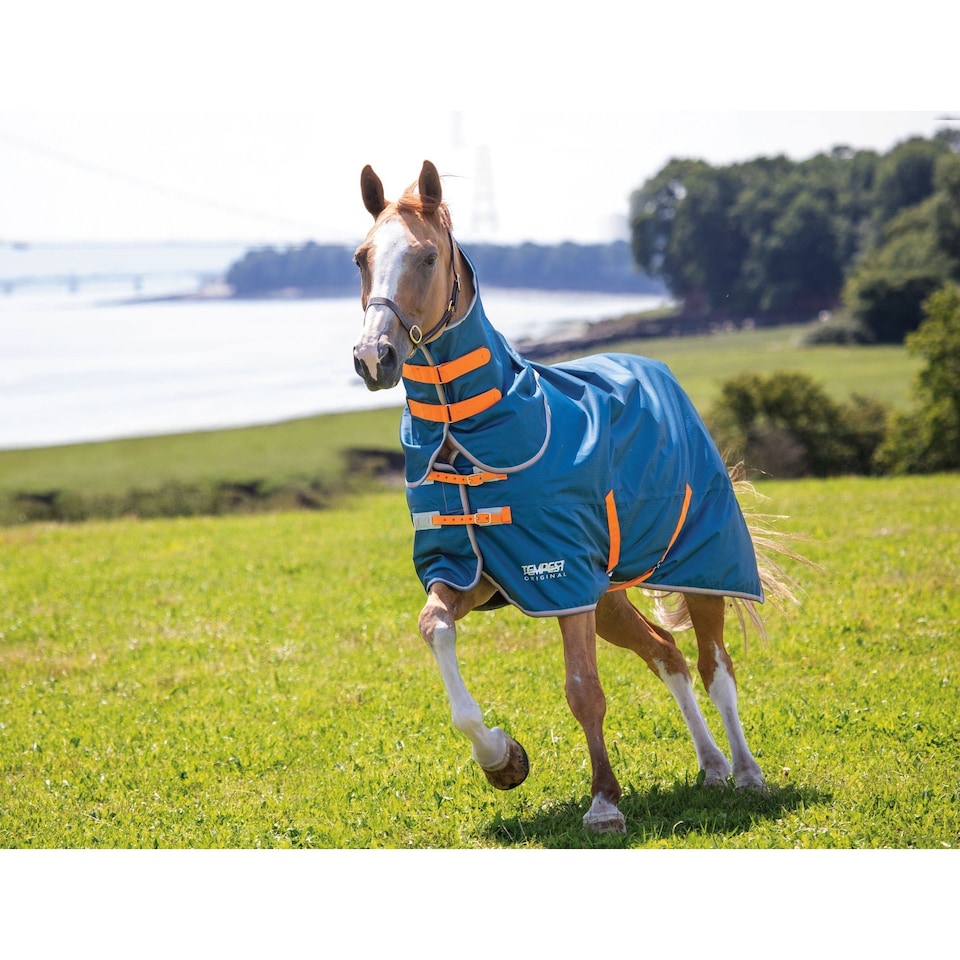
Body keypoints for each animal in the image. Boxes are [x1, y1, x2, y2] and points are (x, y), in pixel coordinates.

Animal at [352, 160, 795, 834]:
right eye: (361, 258)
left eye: (426, 257)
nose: (373, 356)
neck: (471, 432)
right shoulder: (479, 571)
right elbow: (435, 629)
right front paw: (502, 758)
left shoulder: (558, 579)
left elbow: (583, 690)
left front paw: (604, 802)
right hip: (604, 593)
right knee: (667, 654)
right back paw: (712, 766)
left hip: (701, 567)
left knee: (715, 666)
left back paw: (745, 772)